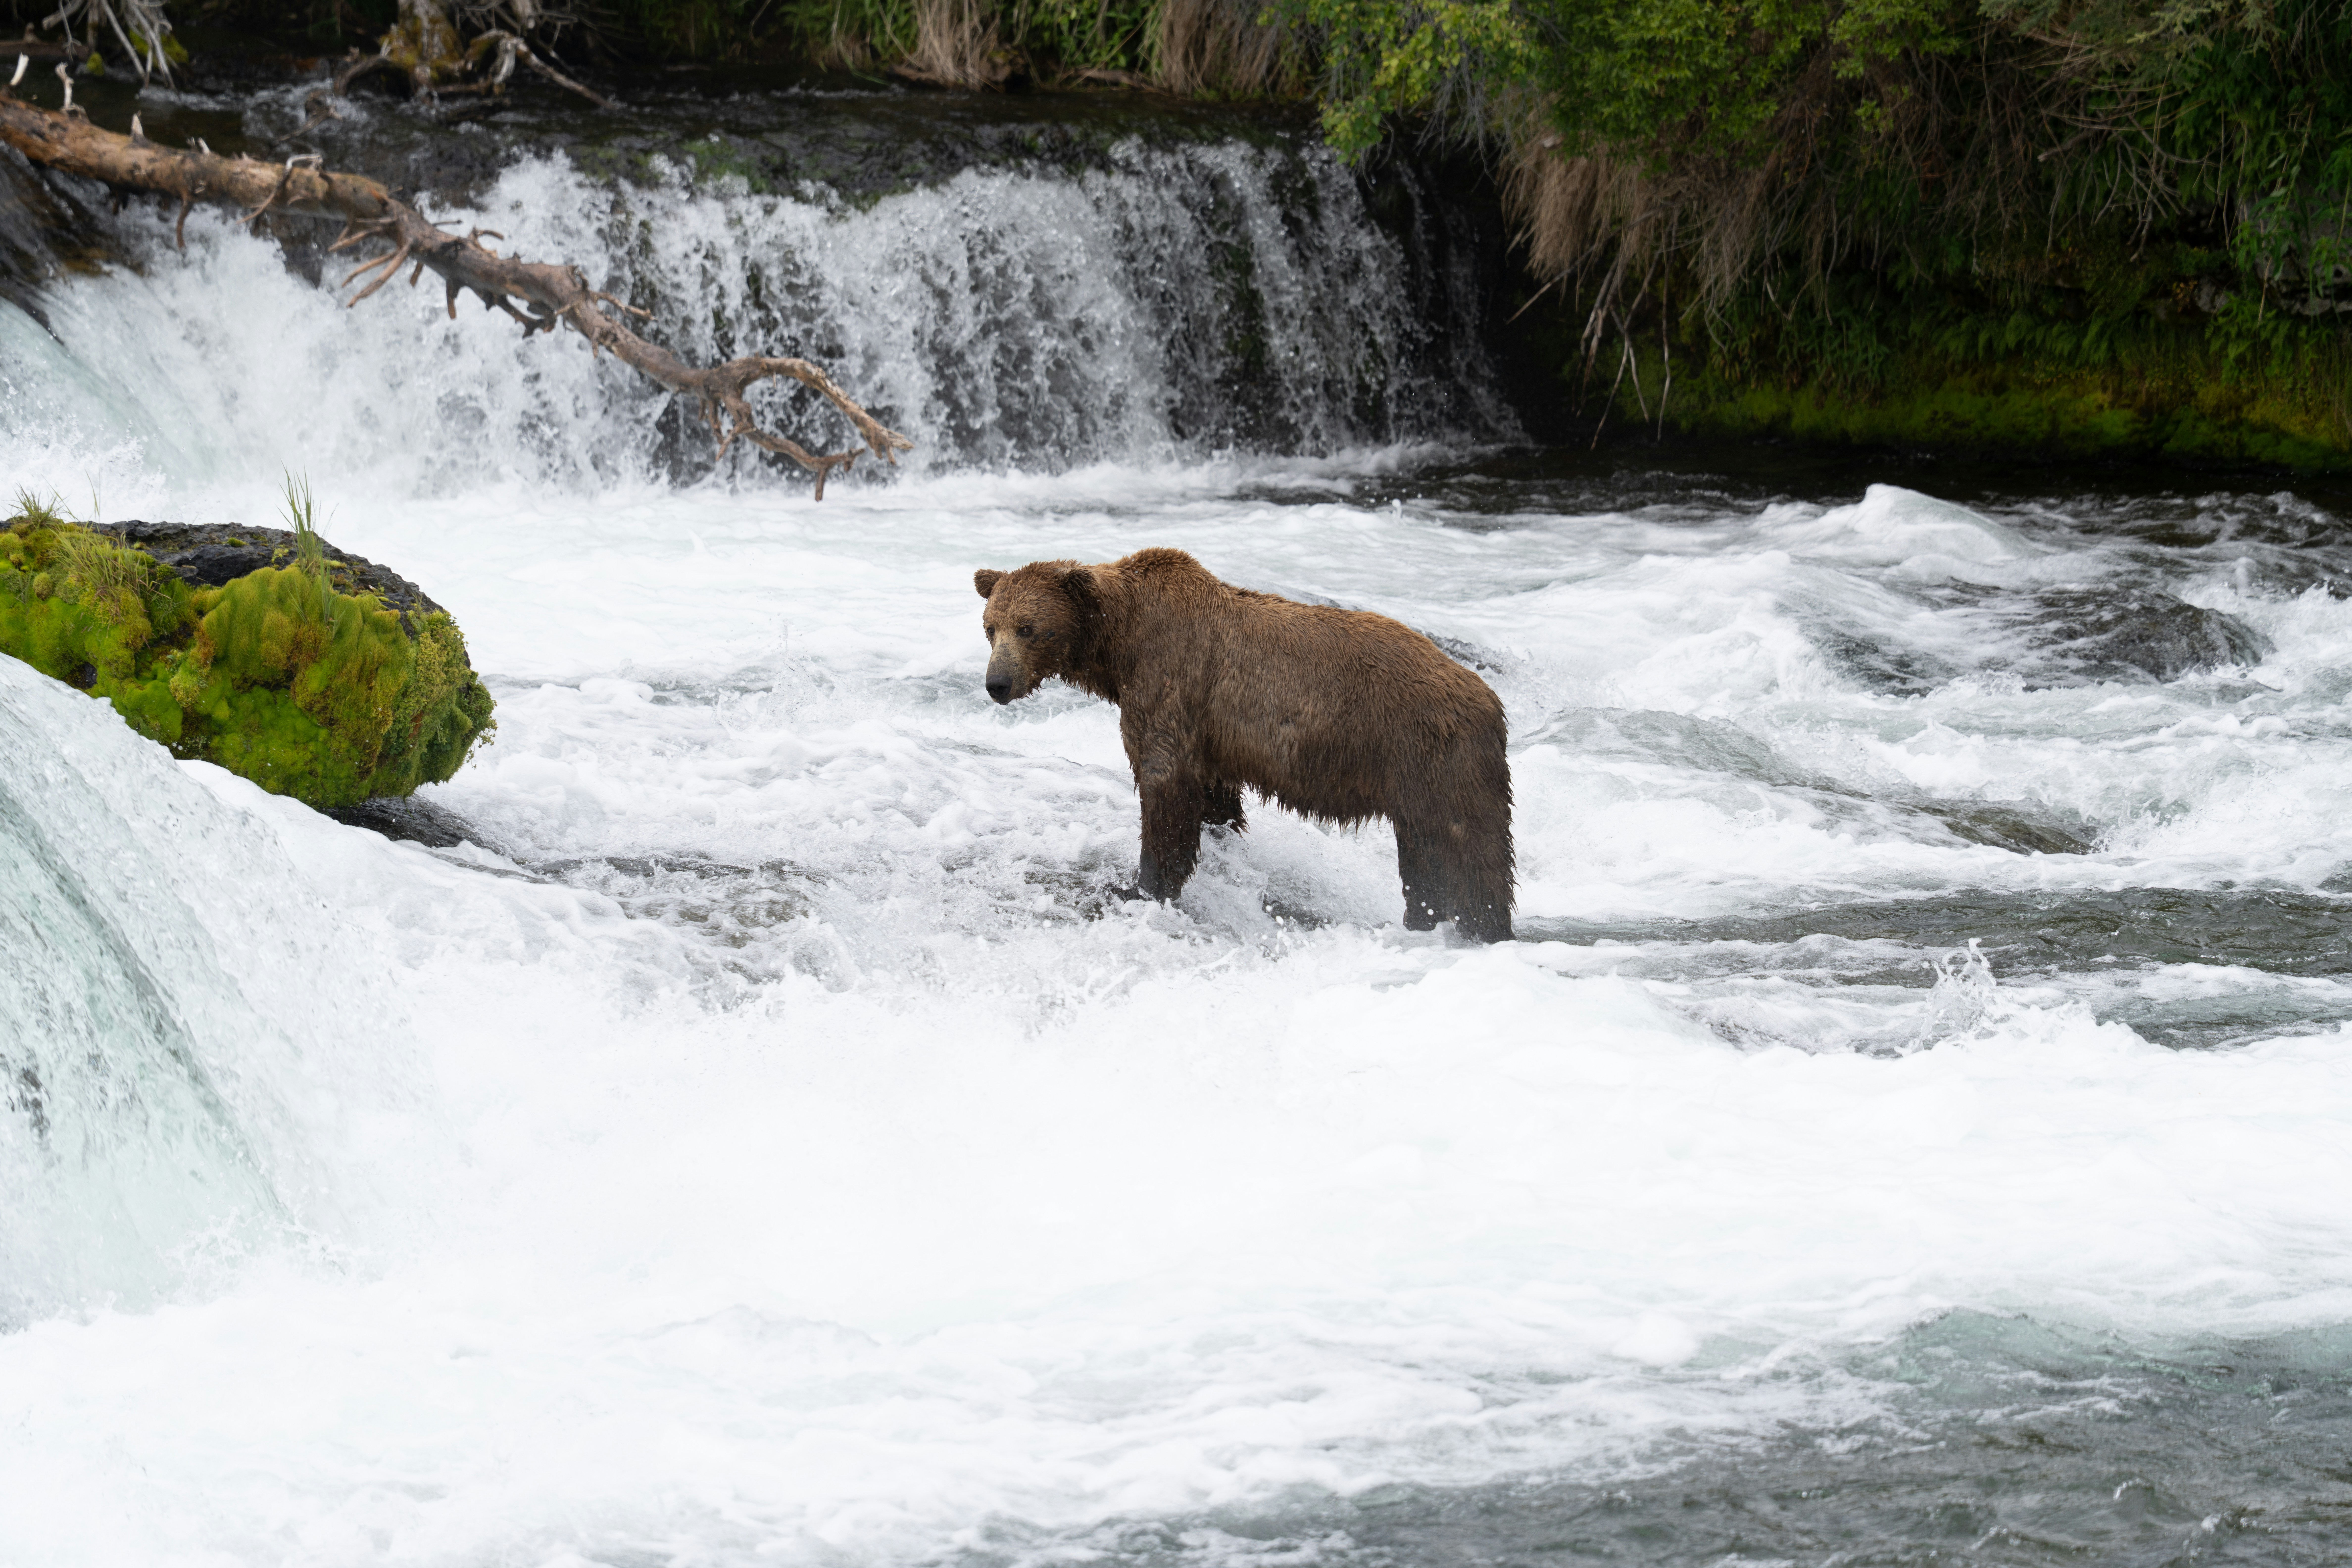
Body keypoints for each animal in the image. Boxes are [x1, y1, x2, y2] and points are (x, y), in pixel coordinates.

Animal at [973, 547, 1514, 942]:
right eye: (990, 627)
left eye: (1028, 628)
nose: (996, 683)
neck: (1120, 645)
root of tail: (1490, 699)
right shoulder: (1211, 736)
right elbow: (1213, 799)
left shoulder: (1171, 681)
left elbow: (1164, 785)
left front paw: (1138, 886)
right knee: (1434, 860)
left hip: (1431, 757)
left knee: (1469, 851)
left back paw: (1479, 927)